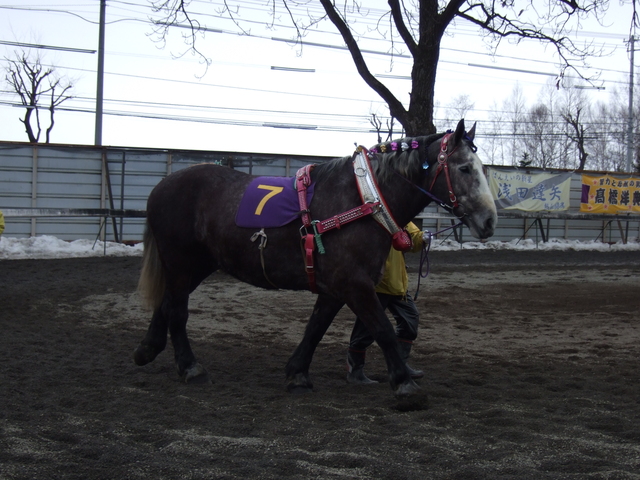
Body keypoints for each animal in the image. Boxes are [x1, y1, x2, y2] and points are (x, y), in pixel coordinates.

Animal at [134, 119, 497, 398]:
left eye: (483, 168)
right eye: (465, 167)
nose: (490, 220)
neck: (362, 201)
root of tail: (161, 187)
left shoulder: (337, 287)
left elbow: (316, 327)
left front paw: (297, 373)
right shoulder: (355, 284)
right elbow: (382, 328)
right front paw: (404, 382)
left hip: (200, 264)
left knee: (167, 303)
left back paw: (148, 349)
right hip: (180, 262)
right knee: (178, 311)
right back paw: (190, 367)